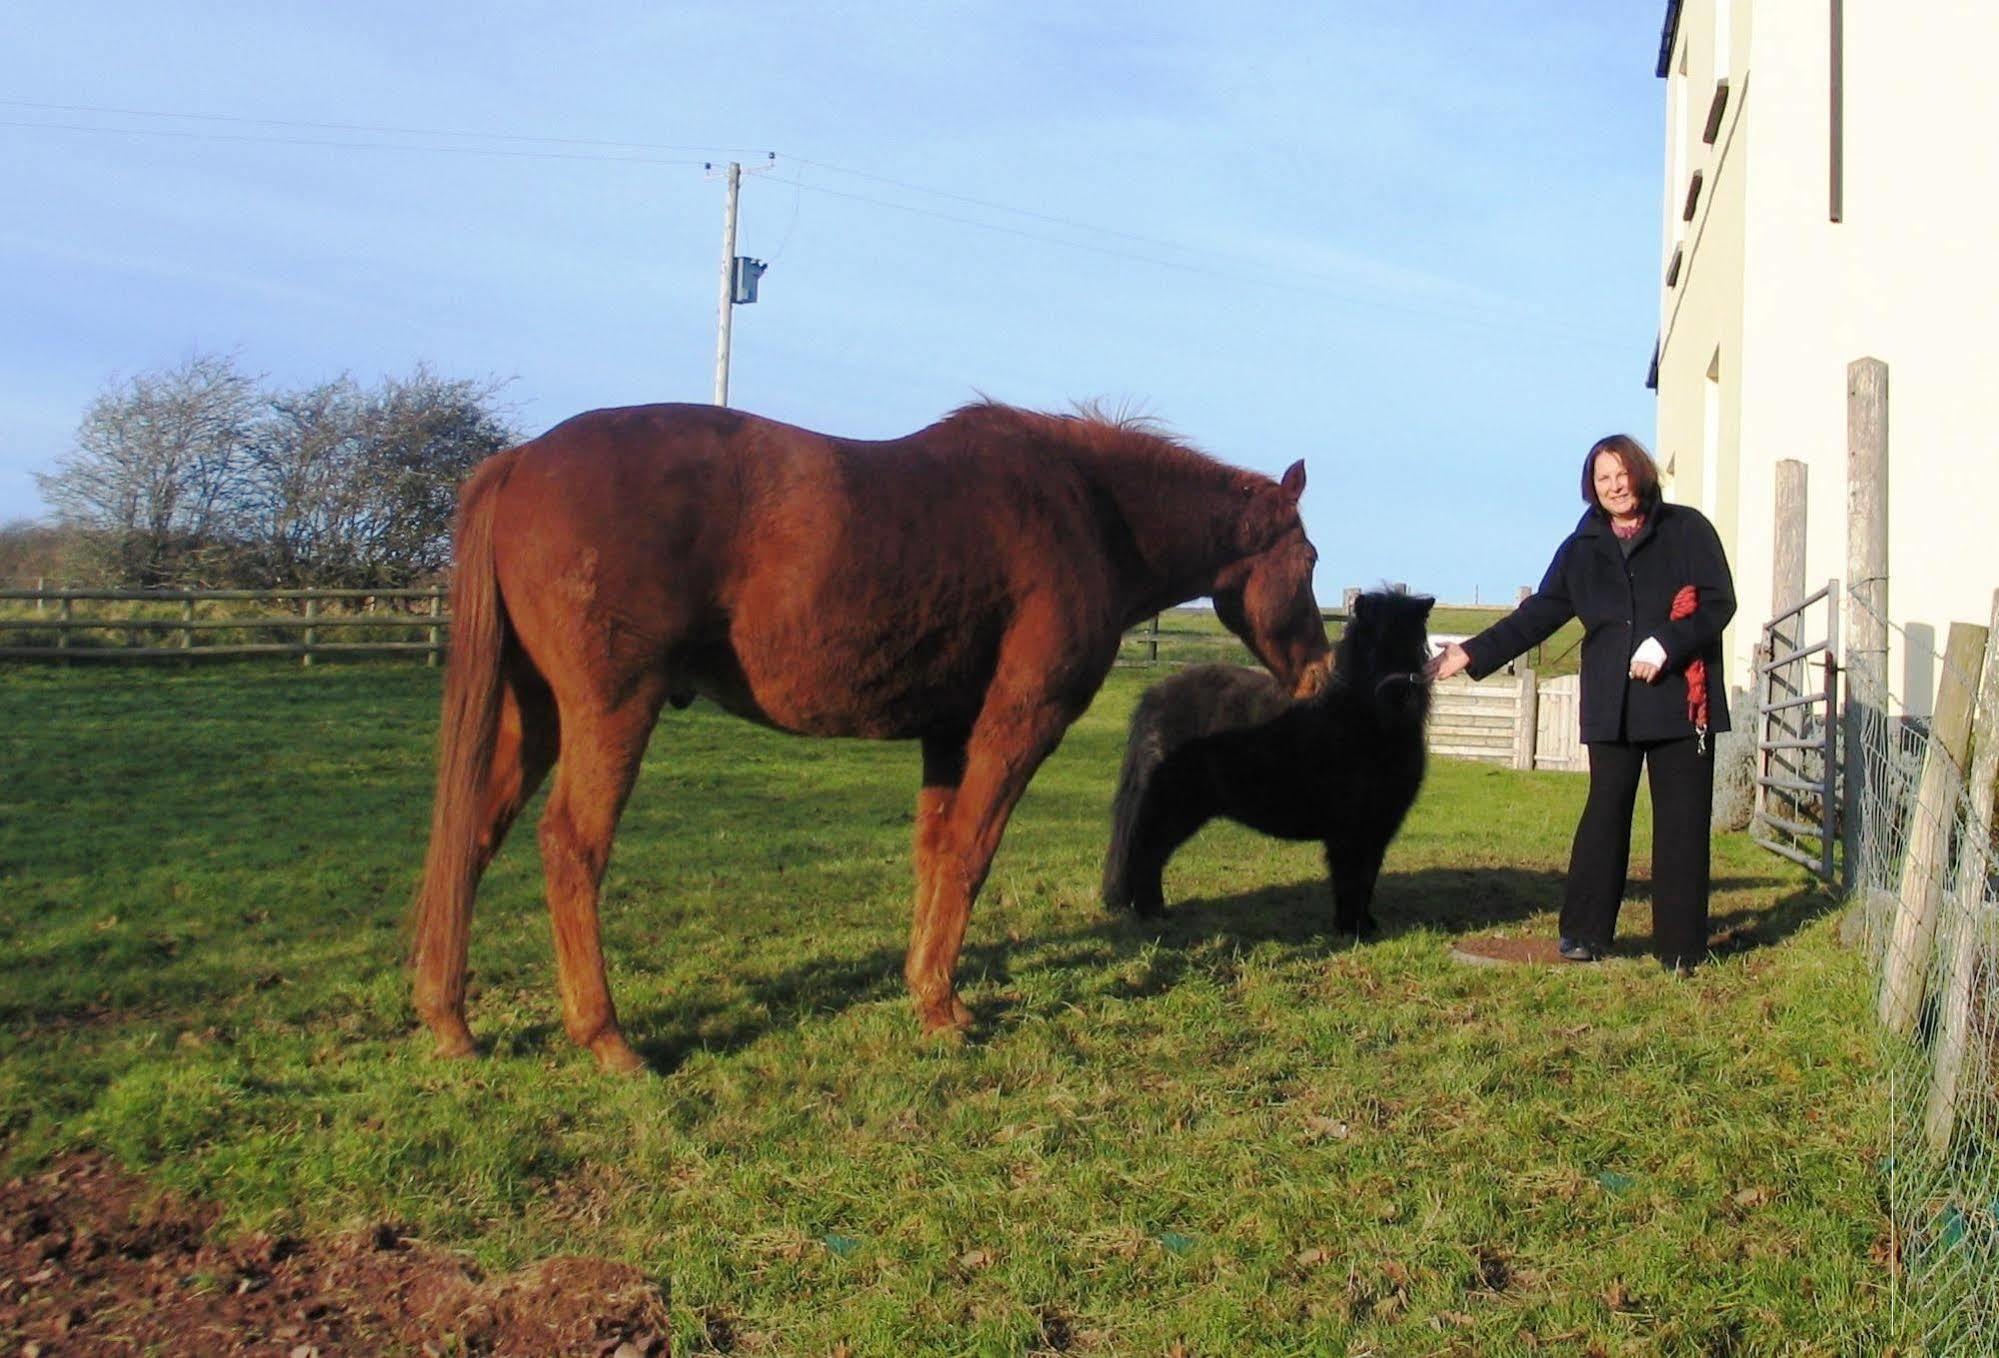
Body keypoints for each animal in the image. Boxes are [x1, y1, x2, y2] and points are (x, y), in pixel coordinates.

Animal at [409, 404, 1327, 1072]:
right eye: (1312, 560)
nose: (1319, 673)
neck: (1087, 508)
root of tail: (520, 462)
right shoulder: (1017, 723)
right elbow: (971, 853)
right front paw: (942, 1011)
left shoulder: (948, 735)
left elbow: (935, 853)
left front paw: (931, 993)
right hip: (609, 711)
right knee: (571, 846)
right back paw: (606, 1039)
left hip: (534, 715)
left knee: (469, 838)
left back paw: (449, 1020)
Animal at [1103, 588, 1431, 940]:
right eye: (1372, 642)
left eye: (1414, 642)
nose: (1398, 696)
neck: (1364, 727)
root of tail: (1155, 697)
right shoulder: (1349, 830)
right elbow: (1349, 878)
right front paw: (1349, 929)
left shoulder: (1378, 825)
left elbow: (1367, 878)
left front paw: (1366, 925)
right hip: (1172, 806)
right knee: (1146, 852)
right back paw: (1151, 912)